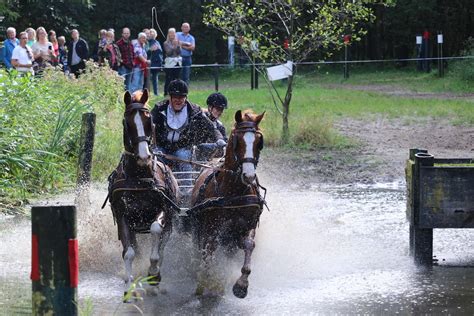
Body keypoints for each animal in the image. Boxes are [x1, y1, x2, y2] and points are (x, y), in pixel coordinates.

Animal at [107, 88, 180, 294]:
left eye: (149, 121)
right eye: (127, 122)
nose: (144, 156)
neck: (139, 177)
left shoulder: (163, 210)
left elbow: (156, 231)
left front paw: (153, 273)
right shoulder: (123, 216)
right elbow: (129, 253)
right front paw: (129, 284)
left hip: (170, 224)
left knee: (162, 245)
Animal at [190, 109, 266, 298]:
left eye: (259, 143)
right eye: (237, 141)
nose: (249, 176)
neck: (234, 193)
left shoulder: (246, 225)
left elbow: (249, 245)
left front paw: (241, 285)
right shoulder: (212, 228)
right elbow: (209, 250)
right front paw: (207, 282)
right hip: (198, 227)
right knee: (202, 248)